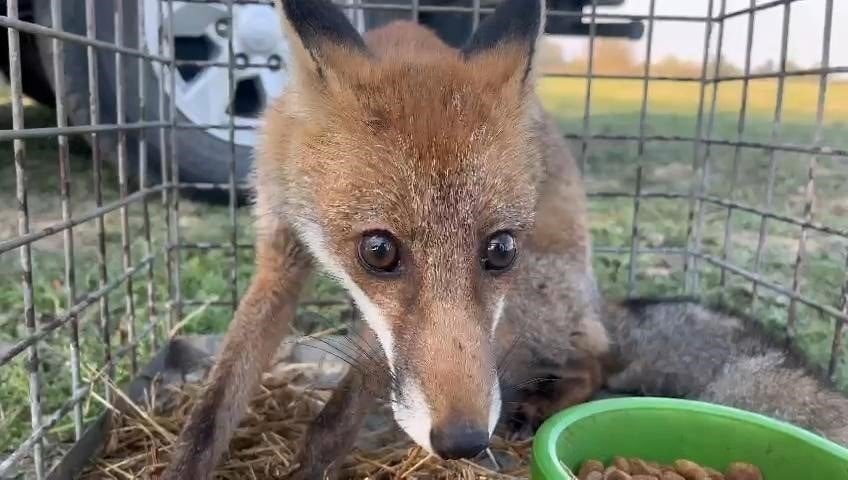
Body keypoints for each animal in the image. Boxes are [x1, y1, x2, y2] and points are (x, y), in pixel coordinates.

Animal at [162, 0, 844, 480]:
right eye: (379, 251)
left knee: (598, 360)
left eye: (499, 249)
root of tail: (599, 302)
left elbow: (334, 422)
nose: (463, 442)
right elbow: (211, 412)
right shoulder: (279, 258)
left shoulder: (386, 334)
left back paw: (540, 407)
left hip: (528, 309)